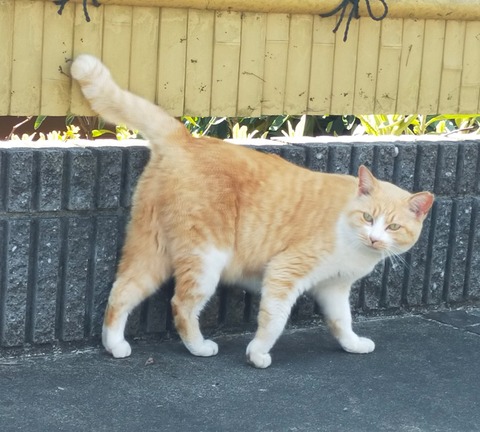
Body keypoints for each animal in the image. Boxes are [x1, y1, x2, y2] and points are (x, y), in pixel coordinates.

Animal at [71, 55, 434, 368]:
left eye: (393, 227)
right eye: (368, 218)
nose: (374, 238)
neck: (352, 240)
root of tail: (186, 138)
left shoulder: (334, 287)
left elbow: (341, 321)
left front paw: (353, 344)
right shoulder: (285, 271)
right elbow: (274, 320)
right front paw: (258, 354)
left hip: (152, 247)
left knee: (122, 291)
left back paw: (115, 345)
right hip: (206, 257)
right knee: (181, 304)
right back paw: (199, 347)